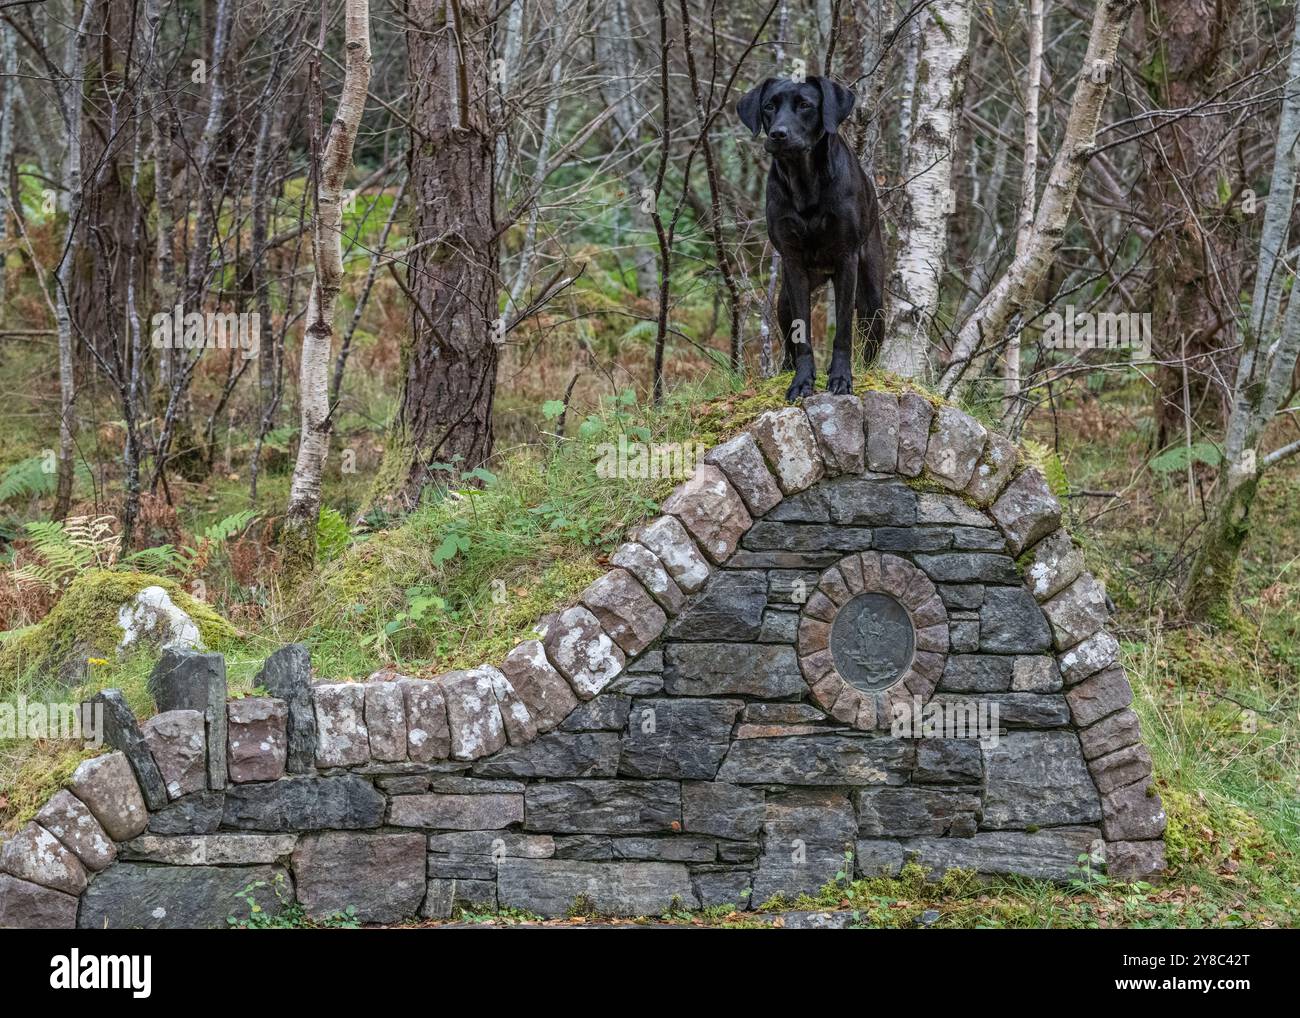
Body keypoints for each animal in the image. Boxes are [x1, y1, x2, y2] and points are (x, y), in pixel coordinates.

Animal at [743, 75, 883, 400]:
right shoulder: (793, 262)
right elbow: (802, 335)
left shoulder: (846, 259)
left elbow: (842, 331)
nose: (778, 134)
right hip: (783, 300)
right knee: (789, 343)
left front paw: (841, 378)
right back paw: (786, 369)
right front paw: (802, 381)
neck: (804, 178)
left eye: (805, 105)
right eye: (769, 106)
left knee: (870, 345)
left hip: (872, 300)